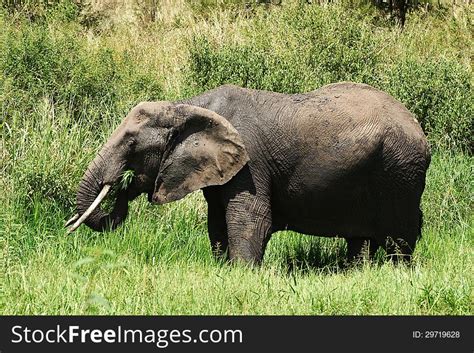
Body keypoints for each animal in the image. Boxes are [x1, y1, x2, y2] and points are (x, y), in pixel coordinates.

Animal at [66, 82, 434, 264]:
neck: (188, 105)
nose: (122, 185)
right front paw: (222, 269)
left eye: (131, 143)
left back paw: (398, 271)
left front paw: (242, 274)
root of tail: (417, 124)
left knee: (400, 236)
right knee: (361, 239)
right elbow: (216, 222)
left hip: (399, 170)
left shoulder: (251, 164)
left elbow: (250, 219)